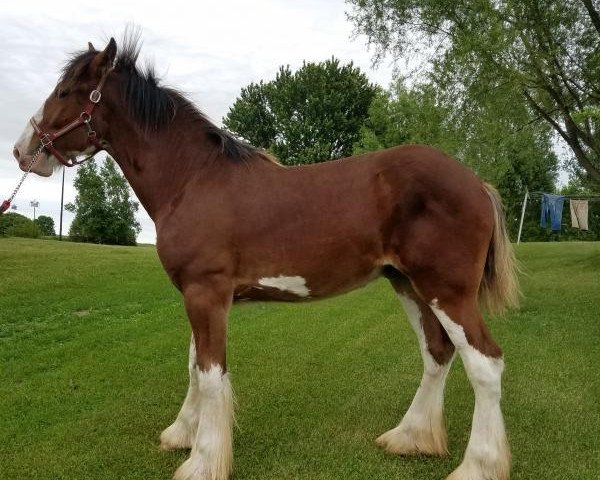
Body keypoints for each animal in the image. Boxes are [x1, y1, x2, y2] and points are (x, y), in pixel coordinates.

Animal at [9, 37, 516, 480]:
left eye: (65, 92)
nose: (21, 149)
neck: (193, 180)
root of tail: (476, 182)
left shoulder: (206, 292)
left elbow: (211, 374)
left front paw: (202, 462)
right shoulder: (200, 295)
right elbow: (194, 365)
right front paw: (182, 433)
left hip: (447, 290)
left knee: (485, 364)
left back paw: (478, 466)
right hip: (408, 284)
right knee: (437, 353)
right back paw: (410, 437)